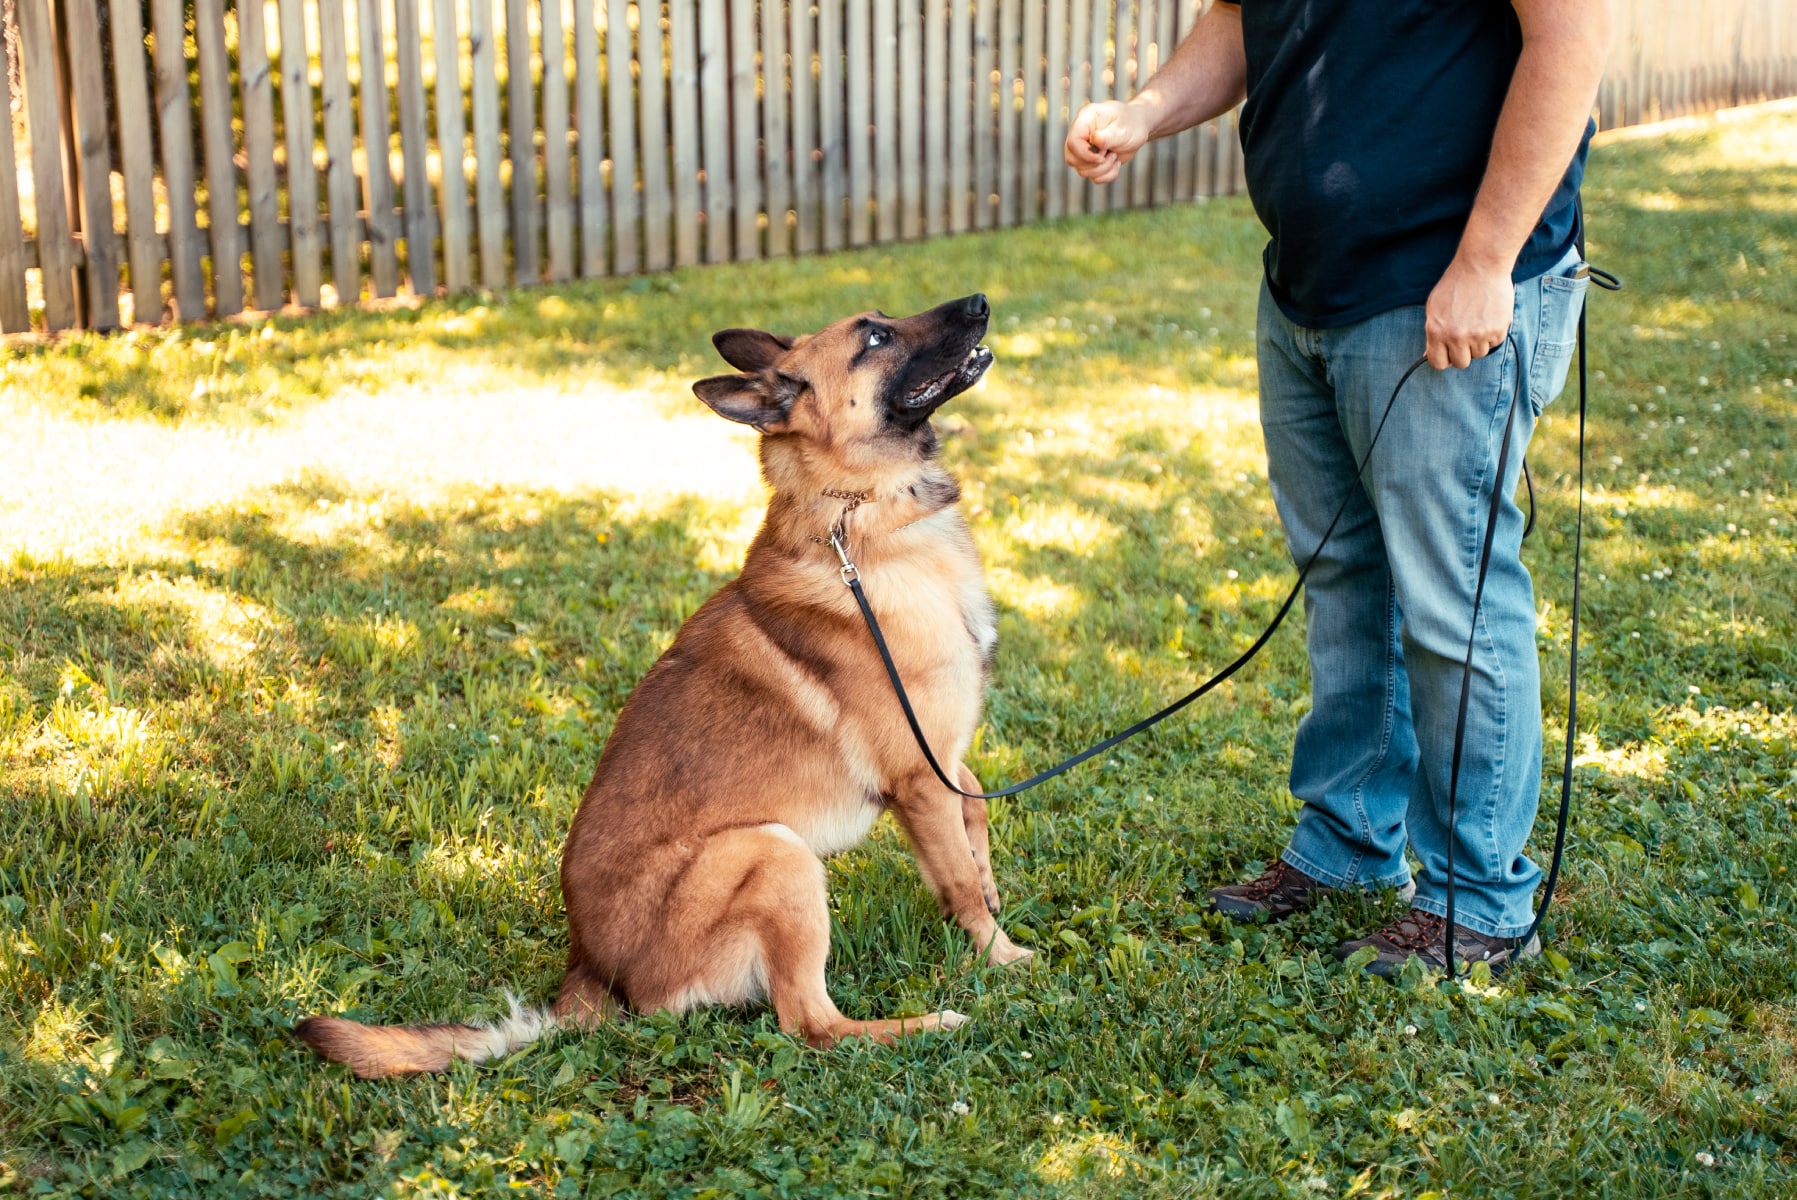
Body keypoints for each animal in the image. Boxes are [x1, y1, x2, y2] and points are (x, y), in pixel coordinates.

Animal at [292, 292, 1027, 1077]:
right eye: (876, 338)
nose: (981, 301)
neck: (859, 510)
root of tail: (586, 974)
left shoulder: (940, 760)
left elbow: (974, 808)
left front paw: (989, 893)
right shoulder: (917, 777)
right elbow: (957, 874)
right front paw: (1001, 956)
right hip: (773, 853)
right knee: (812, 1025)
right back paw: (931, 1023)